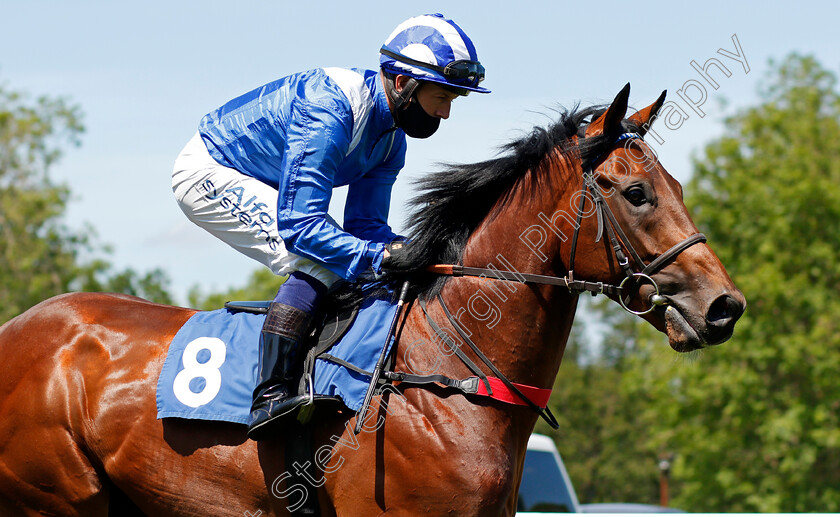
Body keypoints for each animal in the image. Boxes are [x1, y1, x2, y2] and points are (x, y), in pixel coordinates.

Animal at [3, 85, 744, 516]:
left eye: (677, 184)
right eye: (637, 193)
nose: (724, 305)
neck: (445, 371)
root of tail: (19, 329)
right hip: (56, 497)